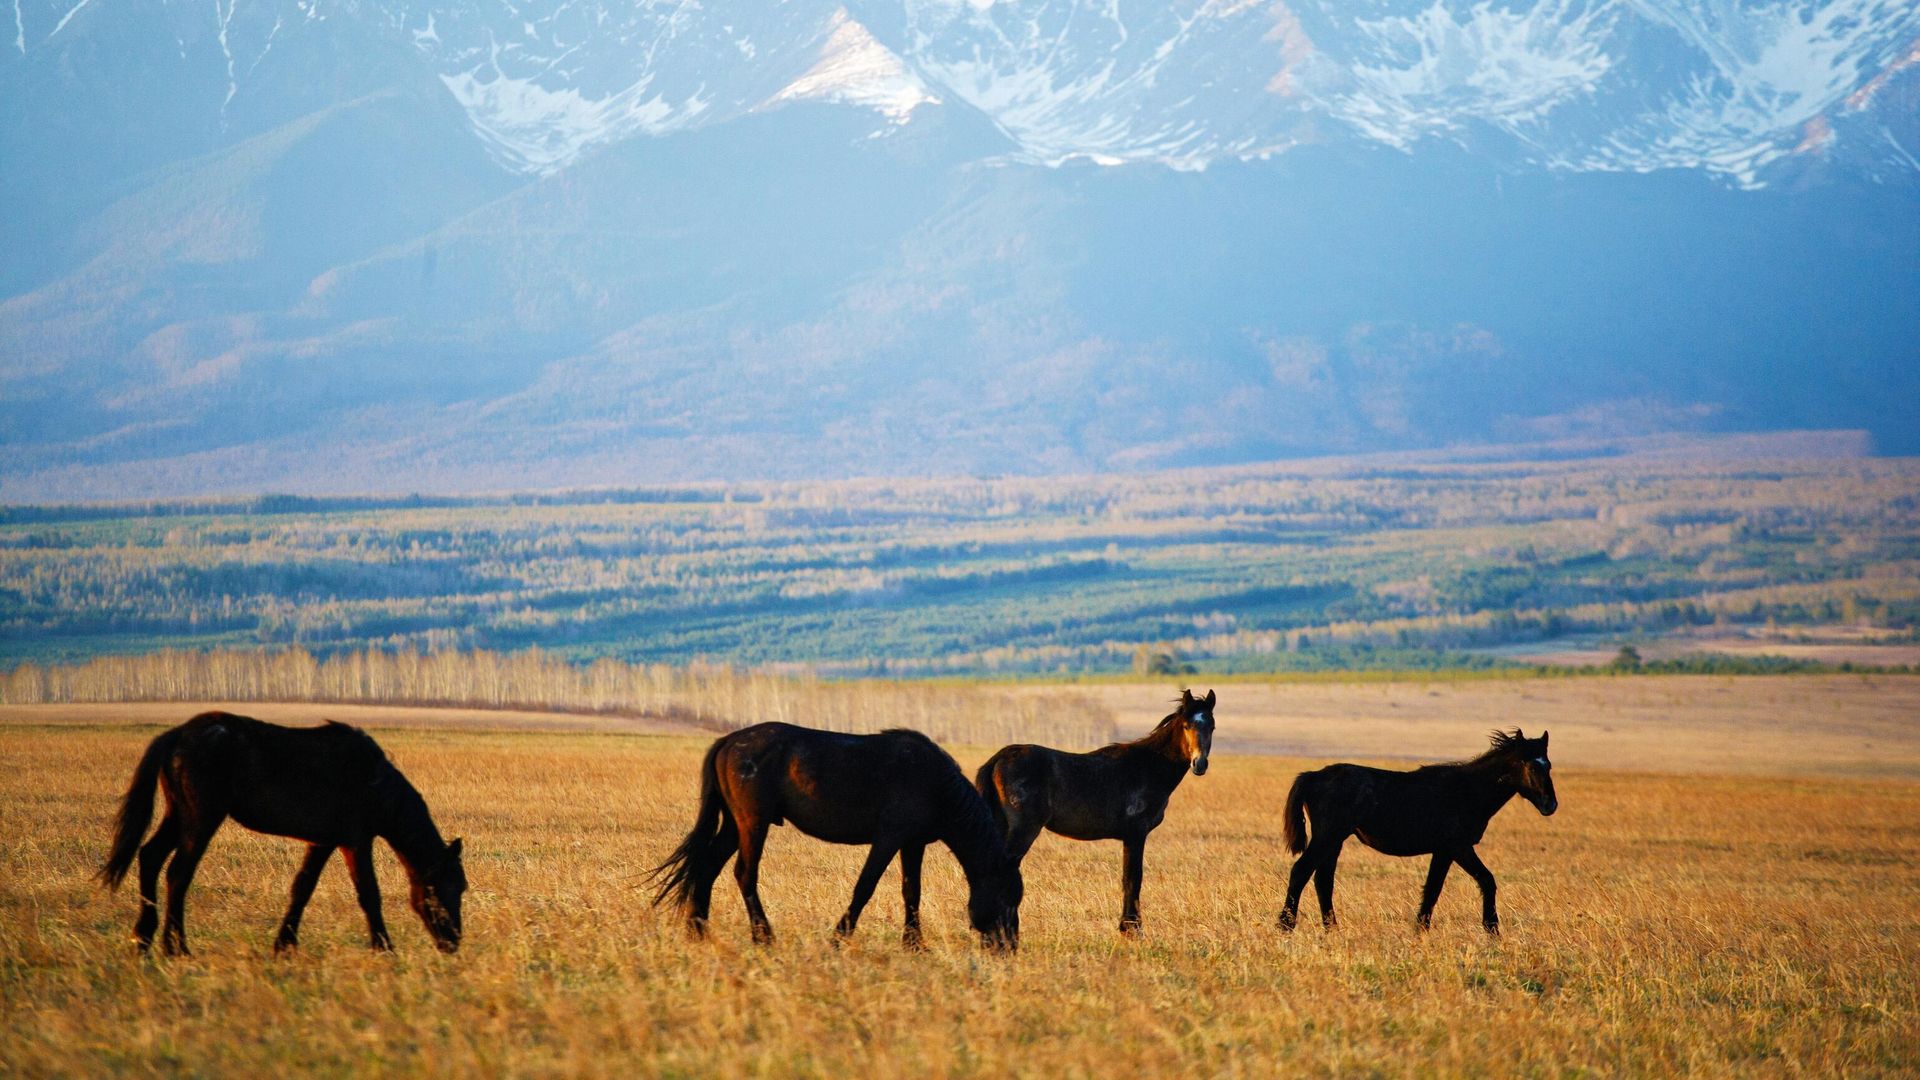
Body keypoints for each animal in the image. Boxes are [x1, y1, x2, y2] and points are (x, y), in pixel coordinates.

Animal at [98, 711, 467, 956]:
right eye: (450, 885)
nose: (453, 941)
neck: (375, 784)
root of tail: (177, 734)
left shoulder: (323, 842)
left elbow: (302, 888)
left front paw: (284, 944)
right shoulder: (356, 841)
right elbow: (369, 894)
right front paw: (384, 947)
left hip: (178, 814)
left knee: (150, 857)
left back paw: (143, 938)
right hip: (201, 819)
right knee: (178, 873)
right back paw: (176, 947)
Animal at [649, 723, 1023, 950]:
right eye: (1008, 897)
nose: (1009, 947)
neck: (935, 783)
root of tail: (727, 742)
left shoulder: (912, 843)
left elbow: (911, 891)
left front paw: (915, 945)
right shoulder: (889, 838)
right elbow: (865, 887)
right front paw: (839, 938)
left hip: (733, 824)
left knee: (707, 867)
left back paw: (698, 929)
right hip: (753, 823)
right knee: (744, 873)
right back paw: (763, 936)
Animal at [975, 688, 1215, 935]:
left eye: (1212, 726)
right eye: (1186, 725)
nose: (1199, 764)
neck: (1148, 765)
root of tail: (1000, 757)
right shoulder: (1136, 834)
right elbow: (1133, 878)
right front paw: (1132, 928)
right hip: (1024, 830)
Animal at [1277, 728, 1557, 935]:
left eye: (1549, 765)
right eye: (1531, 765)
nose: (1550, 804)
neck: (1467, 790)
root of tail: (1314, 775)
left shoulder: (1444, 851)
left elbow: (1434, 888)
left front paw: (1421, 927)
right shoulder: (1457, 847)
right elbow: (1483, 880)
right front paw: (1492, 929)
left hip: (1335, 841)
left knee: (1323, 880)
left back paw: (1332, 928)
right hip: (1327, 838)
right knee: (1301, 872)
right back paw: (1286, 925)